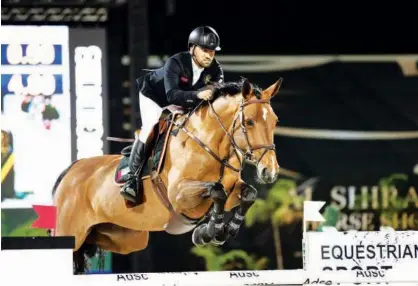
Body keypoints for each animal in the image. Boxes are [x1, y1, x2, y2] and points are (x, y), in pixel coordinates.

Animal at [50, 77, 282, 274]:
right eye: (249, 122)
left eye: (275, 121)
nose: (269, 172)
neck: (212, 146)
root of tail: (69, 171)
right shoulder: (179, 195)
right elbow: (217, 191)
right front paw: (210, 232)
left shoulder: (232, 189)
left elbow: (248, 193)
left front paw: (222, 231)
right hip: (69, 230)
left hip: (127, 237)